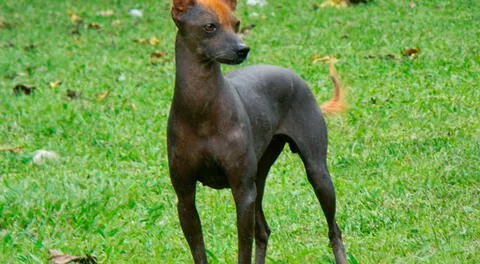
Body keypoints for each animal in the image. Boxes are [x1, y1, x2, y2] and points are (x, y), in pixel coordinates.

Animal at [167, 1, 346, 262]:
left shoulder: (243, 193)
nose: (243, 49)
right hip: (259, 179)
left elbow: (244, 250)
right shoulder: (185, 197)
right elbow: (199, 252)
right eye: (210, 27)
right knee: (263, 231)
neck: (202, 111)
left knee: (334, 229)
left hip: (316, 173)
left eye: (236, 23)